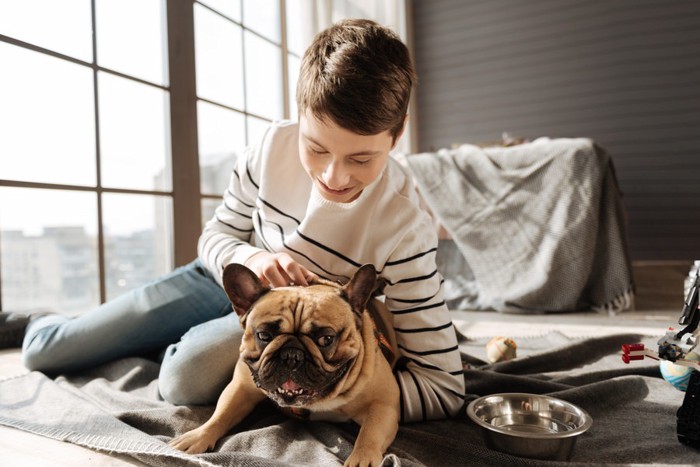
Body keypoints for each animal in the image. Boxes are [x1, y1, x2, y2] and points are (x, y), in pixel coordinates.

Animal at [170, 264, 400, 467]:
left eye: (326, 339)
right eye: (263, 335)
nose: (292, 355)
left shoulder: (383, 405)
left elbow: (369, 434)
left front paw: (362, 458)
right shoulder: (240, 388)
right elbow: (221, 413)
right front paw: (198, 435)